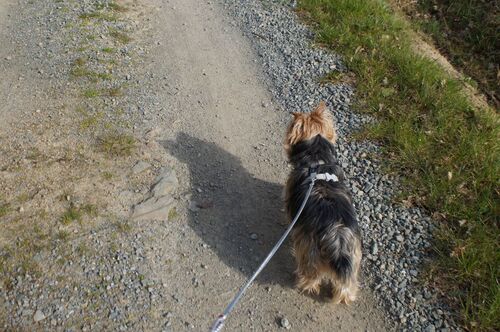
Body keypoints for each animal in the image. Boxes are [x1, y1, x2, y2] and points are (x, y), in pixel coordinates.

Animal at [284, 101, 362, 304]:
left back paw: (304, 284)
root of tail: (338, 238)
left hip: (309, 250)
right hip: (354, 255)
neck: (317, 161)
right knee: (346, 286)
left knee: (311, 274)